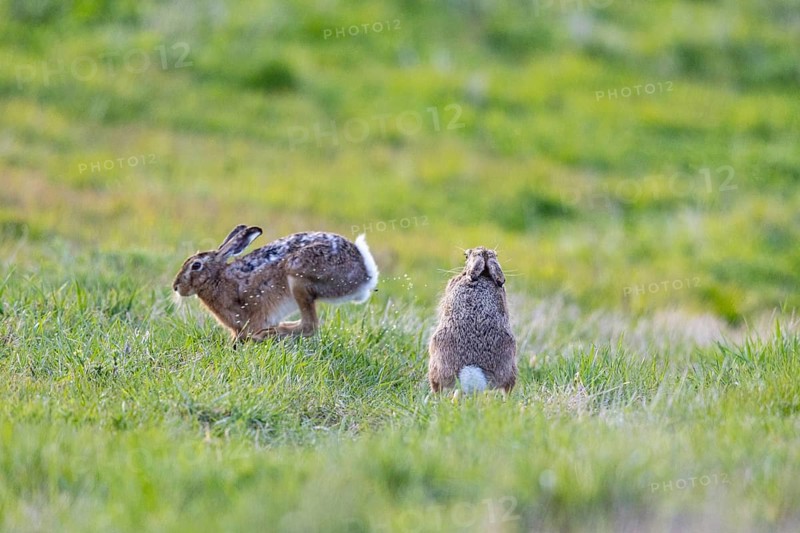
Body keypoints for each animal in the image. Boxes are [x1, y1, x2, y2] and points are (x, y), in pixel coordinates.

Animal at [173, 224, 379, 342]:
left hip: (298, 276)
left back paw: (269, 333)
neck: (217, 278)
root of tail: (364, 270)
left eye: (196, 265)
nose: (176, 286)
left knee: (309, 326)